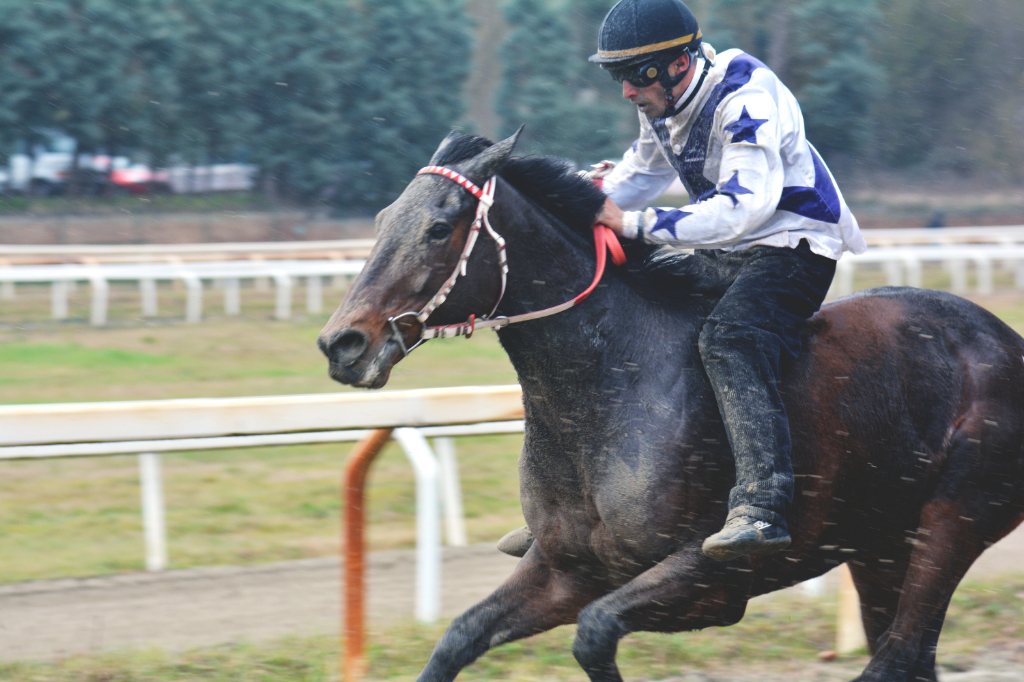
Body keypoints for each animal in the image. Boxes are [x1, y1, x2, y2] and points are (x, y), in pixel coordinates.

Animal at [317, 129, 1024, 679]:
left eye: (439, 228)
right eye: (382, 220)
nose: (342, 343)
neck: (611, 389)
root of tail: (1006, 339)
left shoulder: (711, 579)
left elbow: (595, 633)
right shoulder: (566, 568)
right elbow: (458, 638)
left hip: (951, 524)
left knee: (897, 656)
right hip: (877, 545)